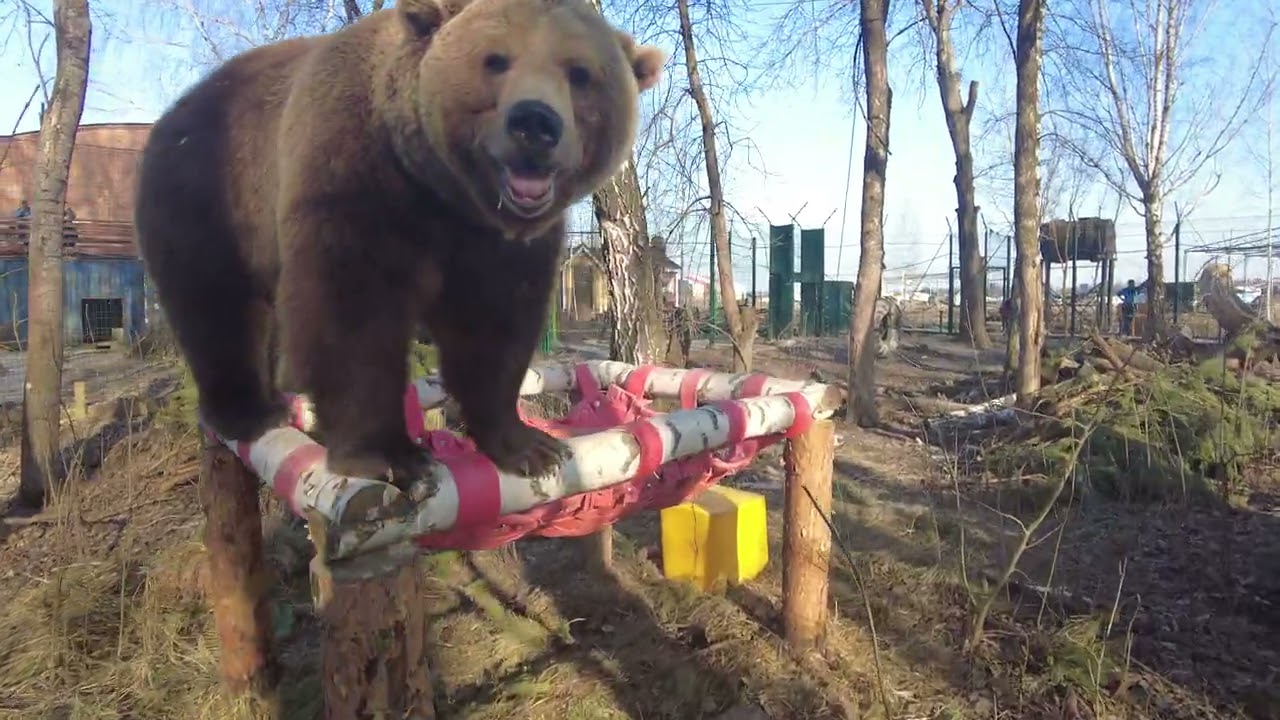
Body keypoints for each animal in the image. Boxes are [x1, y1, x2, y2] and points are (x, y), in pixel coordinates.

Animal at [134, 0, 666, 490]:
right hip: (210, 194)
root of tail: (173, 110)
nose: (535, 123)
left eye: (580, 74)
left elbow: (495, 326)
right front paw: (391, 455)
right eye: (495, 60)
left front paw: (528, 445)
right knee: (216, 306)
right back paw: (249, 411)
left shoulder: (498, 243)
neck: (443, 190)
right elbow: (353, 315)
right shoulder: (357, 177)